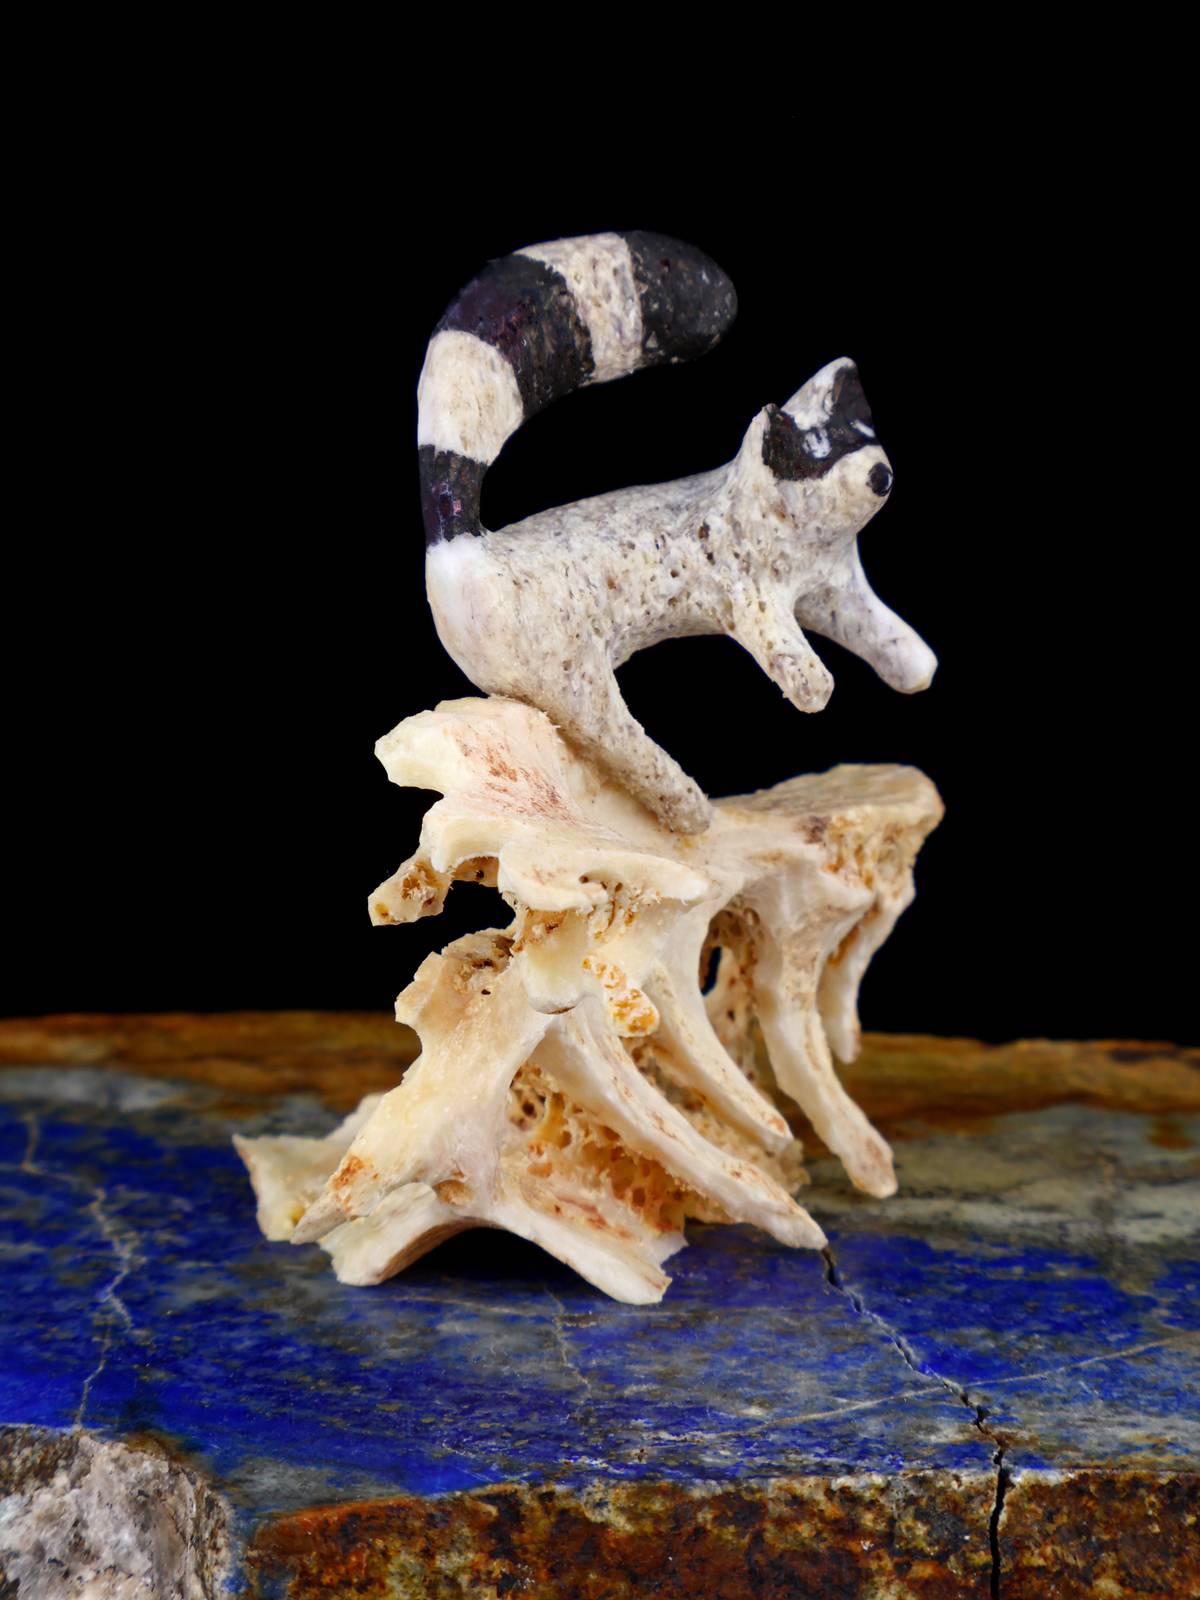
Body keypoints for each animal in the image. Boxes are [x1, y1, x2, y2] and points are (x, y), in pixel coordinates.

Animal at [418, 231, 936, 833]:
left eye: (857, 435)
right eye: (811, 455)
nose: (880, 476)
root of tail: (462, 548)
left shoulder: (839, 584)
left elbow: (878, 626)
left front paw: (912, 662)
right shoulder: (749, 593)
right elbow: (782, 648)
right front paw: (814, 684)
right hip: (568, 675)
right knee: (617, 739)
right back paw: (688, 808)